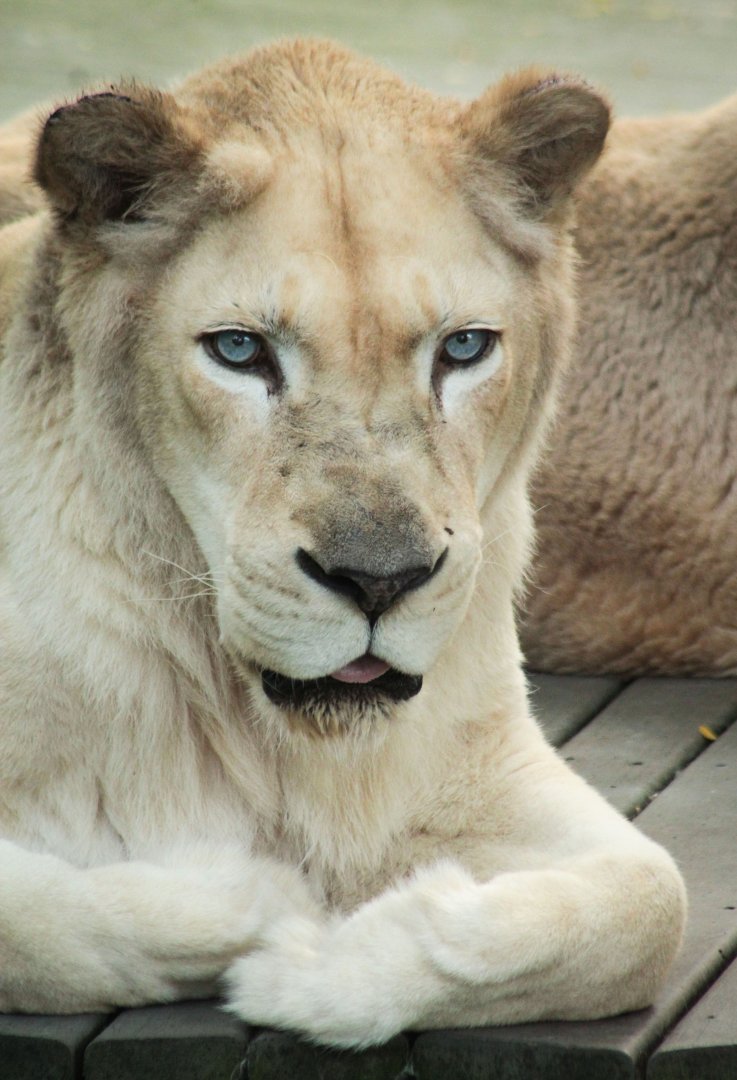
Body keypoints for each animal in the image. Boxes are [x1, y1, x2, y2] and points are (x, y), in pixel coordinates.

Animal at [0, 39, 685, 1047]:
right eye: (239, 350)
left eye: (463, 348)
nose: (378, 581)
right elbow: (39, 924)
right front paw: (265, 900)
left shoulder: (478, 759)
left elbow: (649, 902)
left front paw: (326, 968)